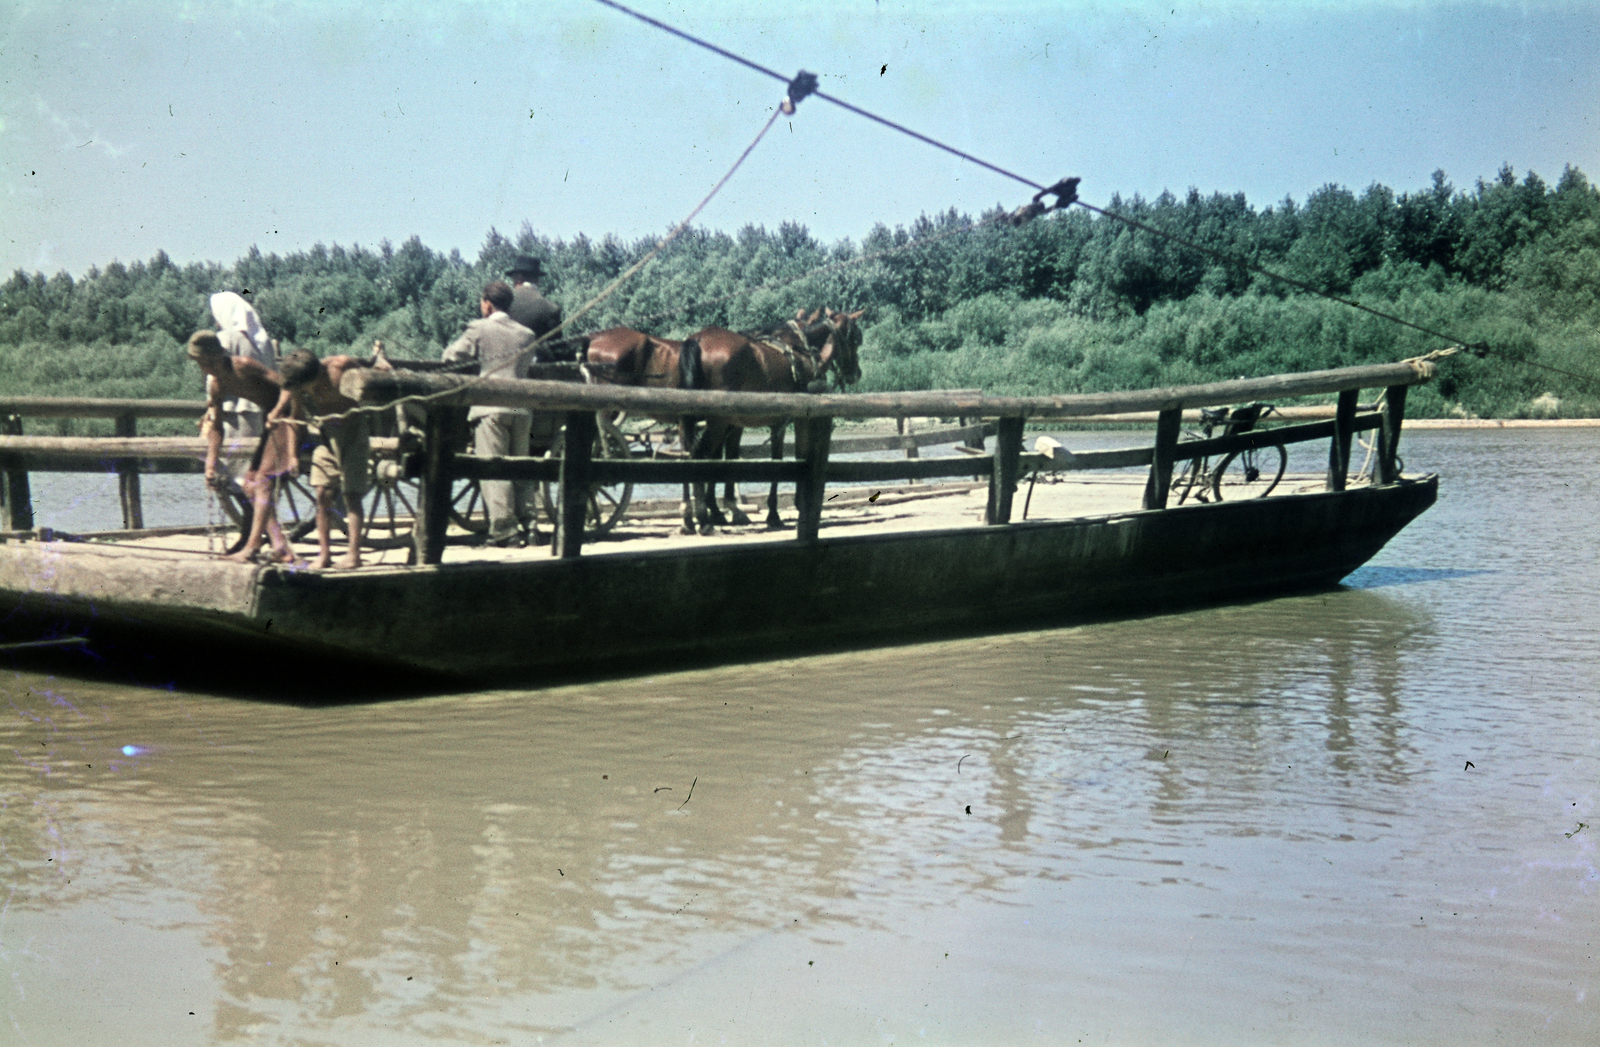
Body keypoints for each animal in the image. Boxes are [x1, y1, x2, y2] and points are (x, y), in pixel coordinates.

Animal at [681, 304, 870, 534]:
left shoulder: (774, 422)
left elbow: (772, 459)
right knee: (698, 454)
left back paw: (693, 517)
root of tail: (698, 339)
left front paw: (768, 512)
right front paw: (792, 506)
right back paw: (703, 518)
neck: (802, 351)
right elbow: (798, 455)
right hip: (718, 421)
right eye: (856, 339)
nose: (856, 373)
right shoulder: (799, 418)